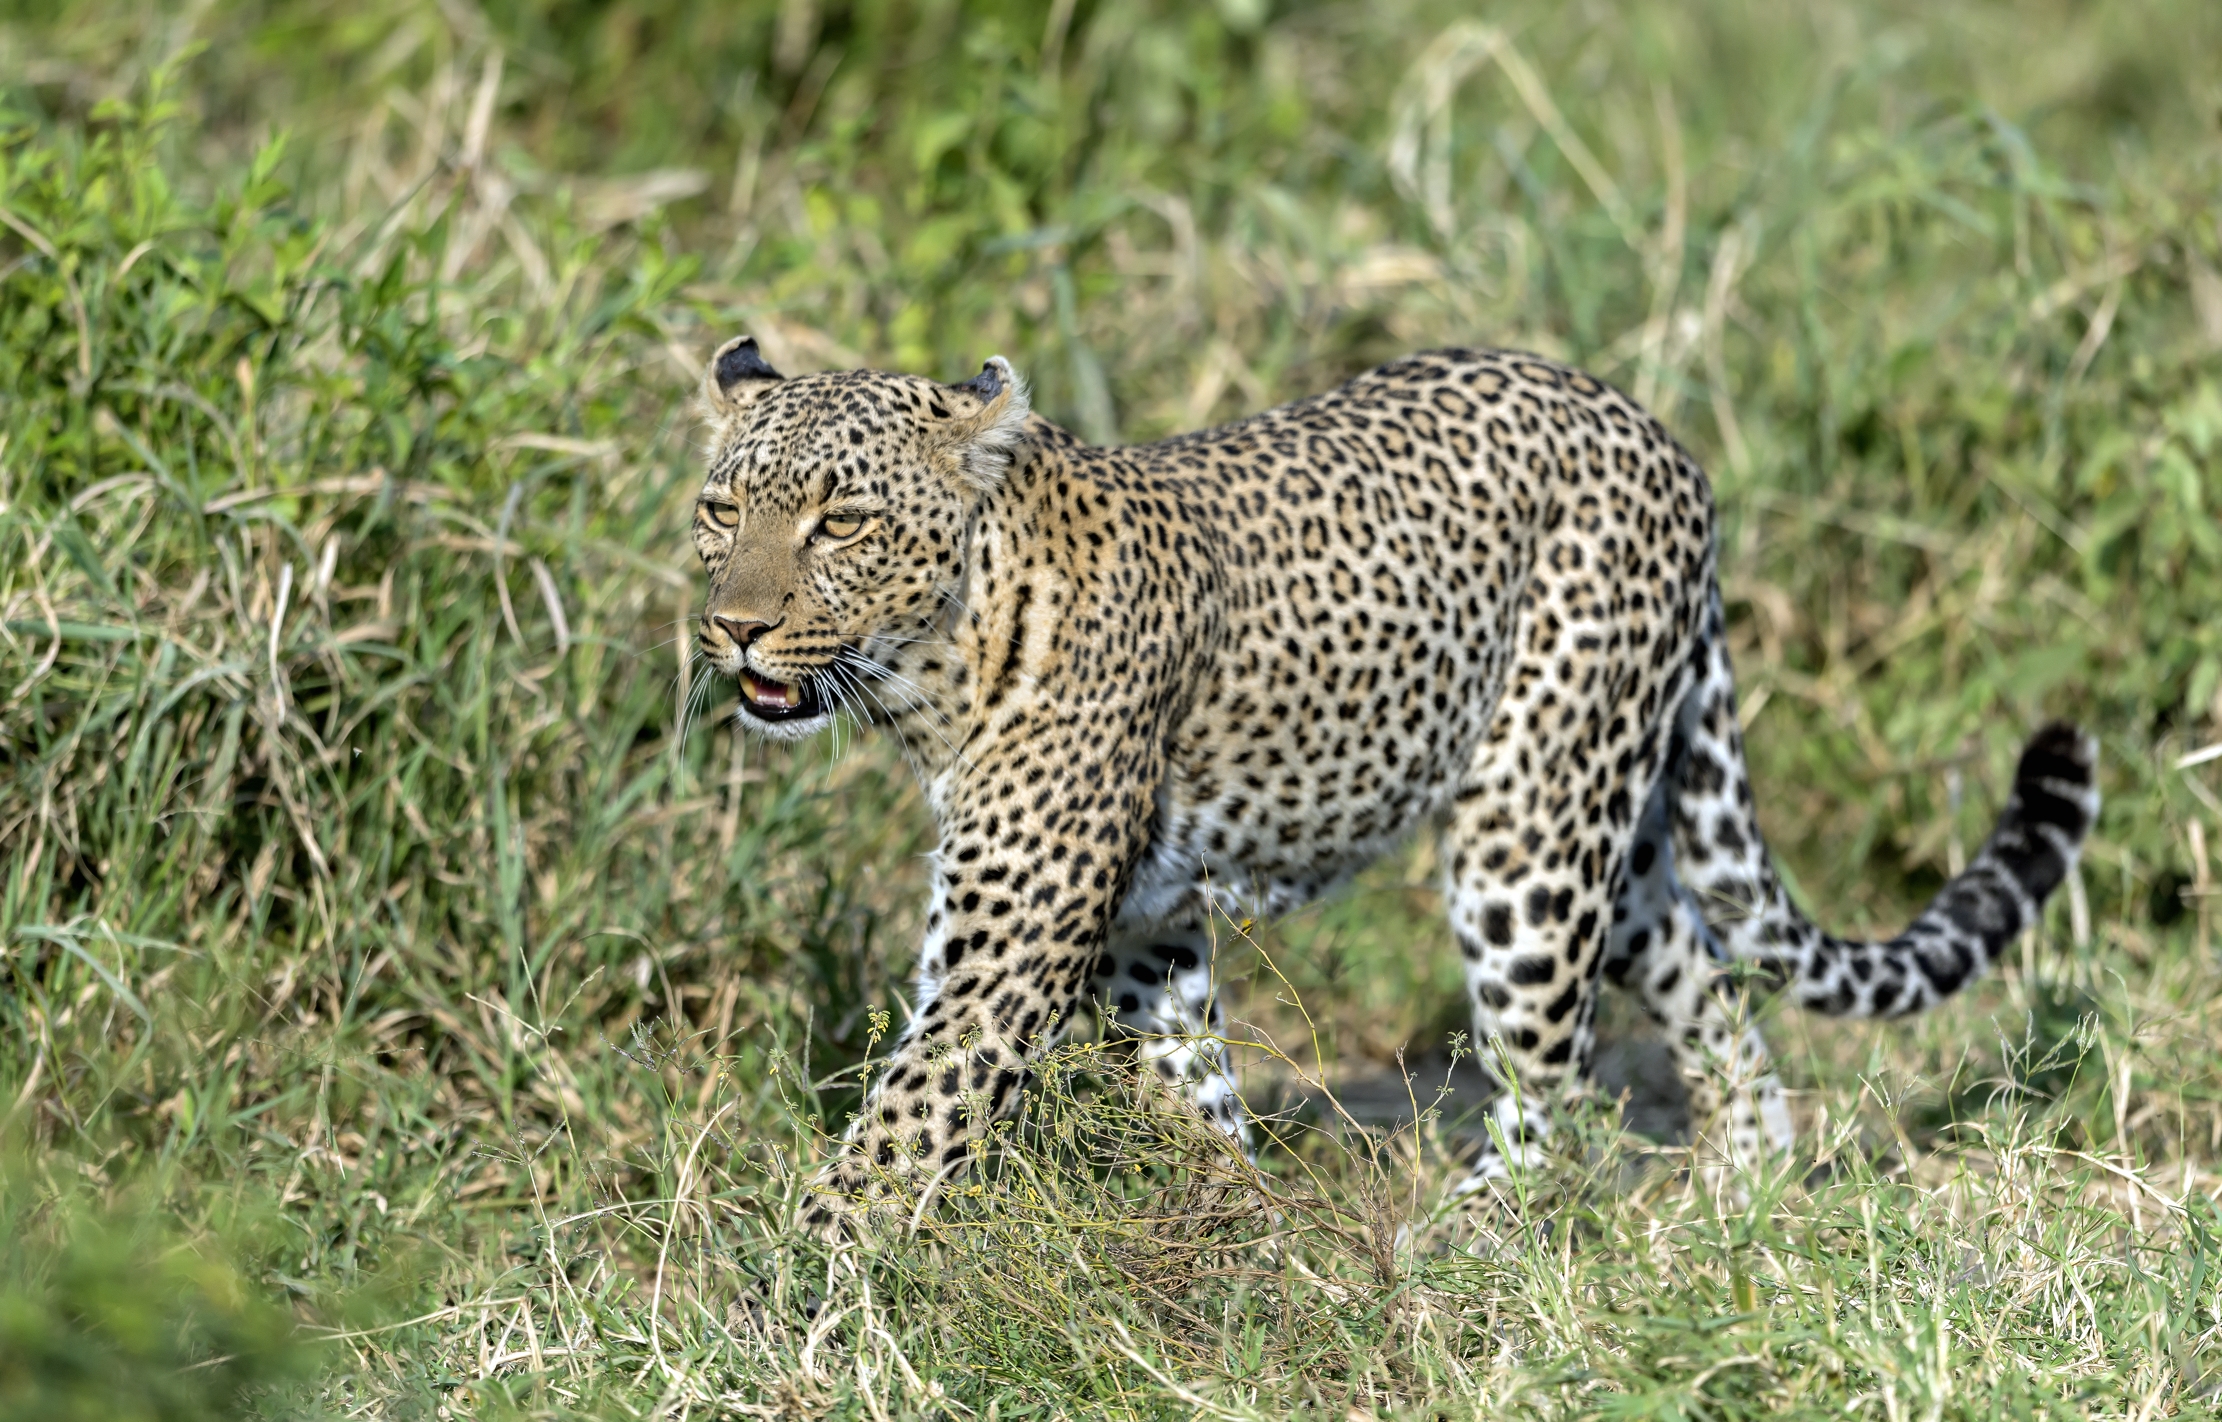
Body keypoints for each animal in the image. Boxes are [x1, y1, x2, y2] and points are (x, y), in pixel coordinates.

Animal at [686, 334, 2100, 1222]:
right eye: (720, 511)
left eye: (841, 523)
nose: (736, 629)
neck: (935, 667)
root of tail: (1651, 430)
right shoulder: (1148, 928)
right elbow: (1192, 1099)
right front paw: (1235, 1240)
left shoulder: (999, 968)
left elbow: (889, 1148)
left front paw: (789, 1319)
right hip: (1619, 839)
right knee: (1714, 998)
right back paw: (1730, 1211)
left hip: (1527, 834)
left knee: (1550, 1072)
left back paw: (1467, 1248)